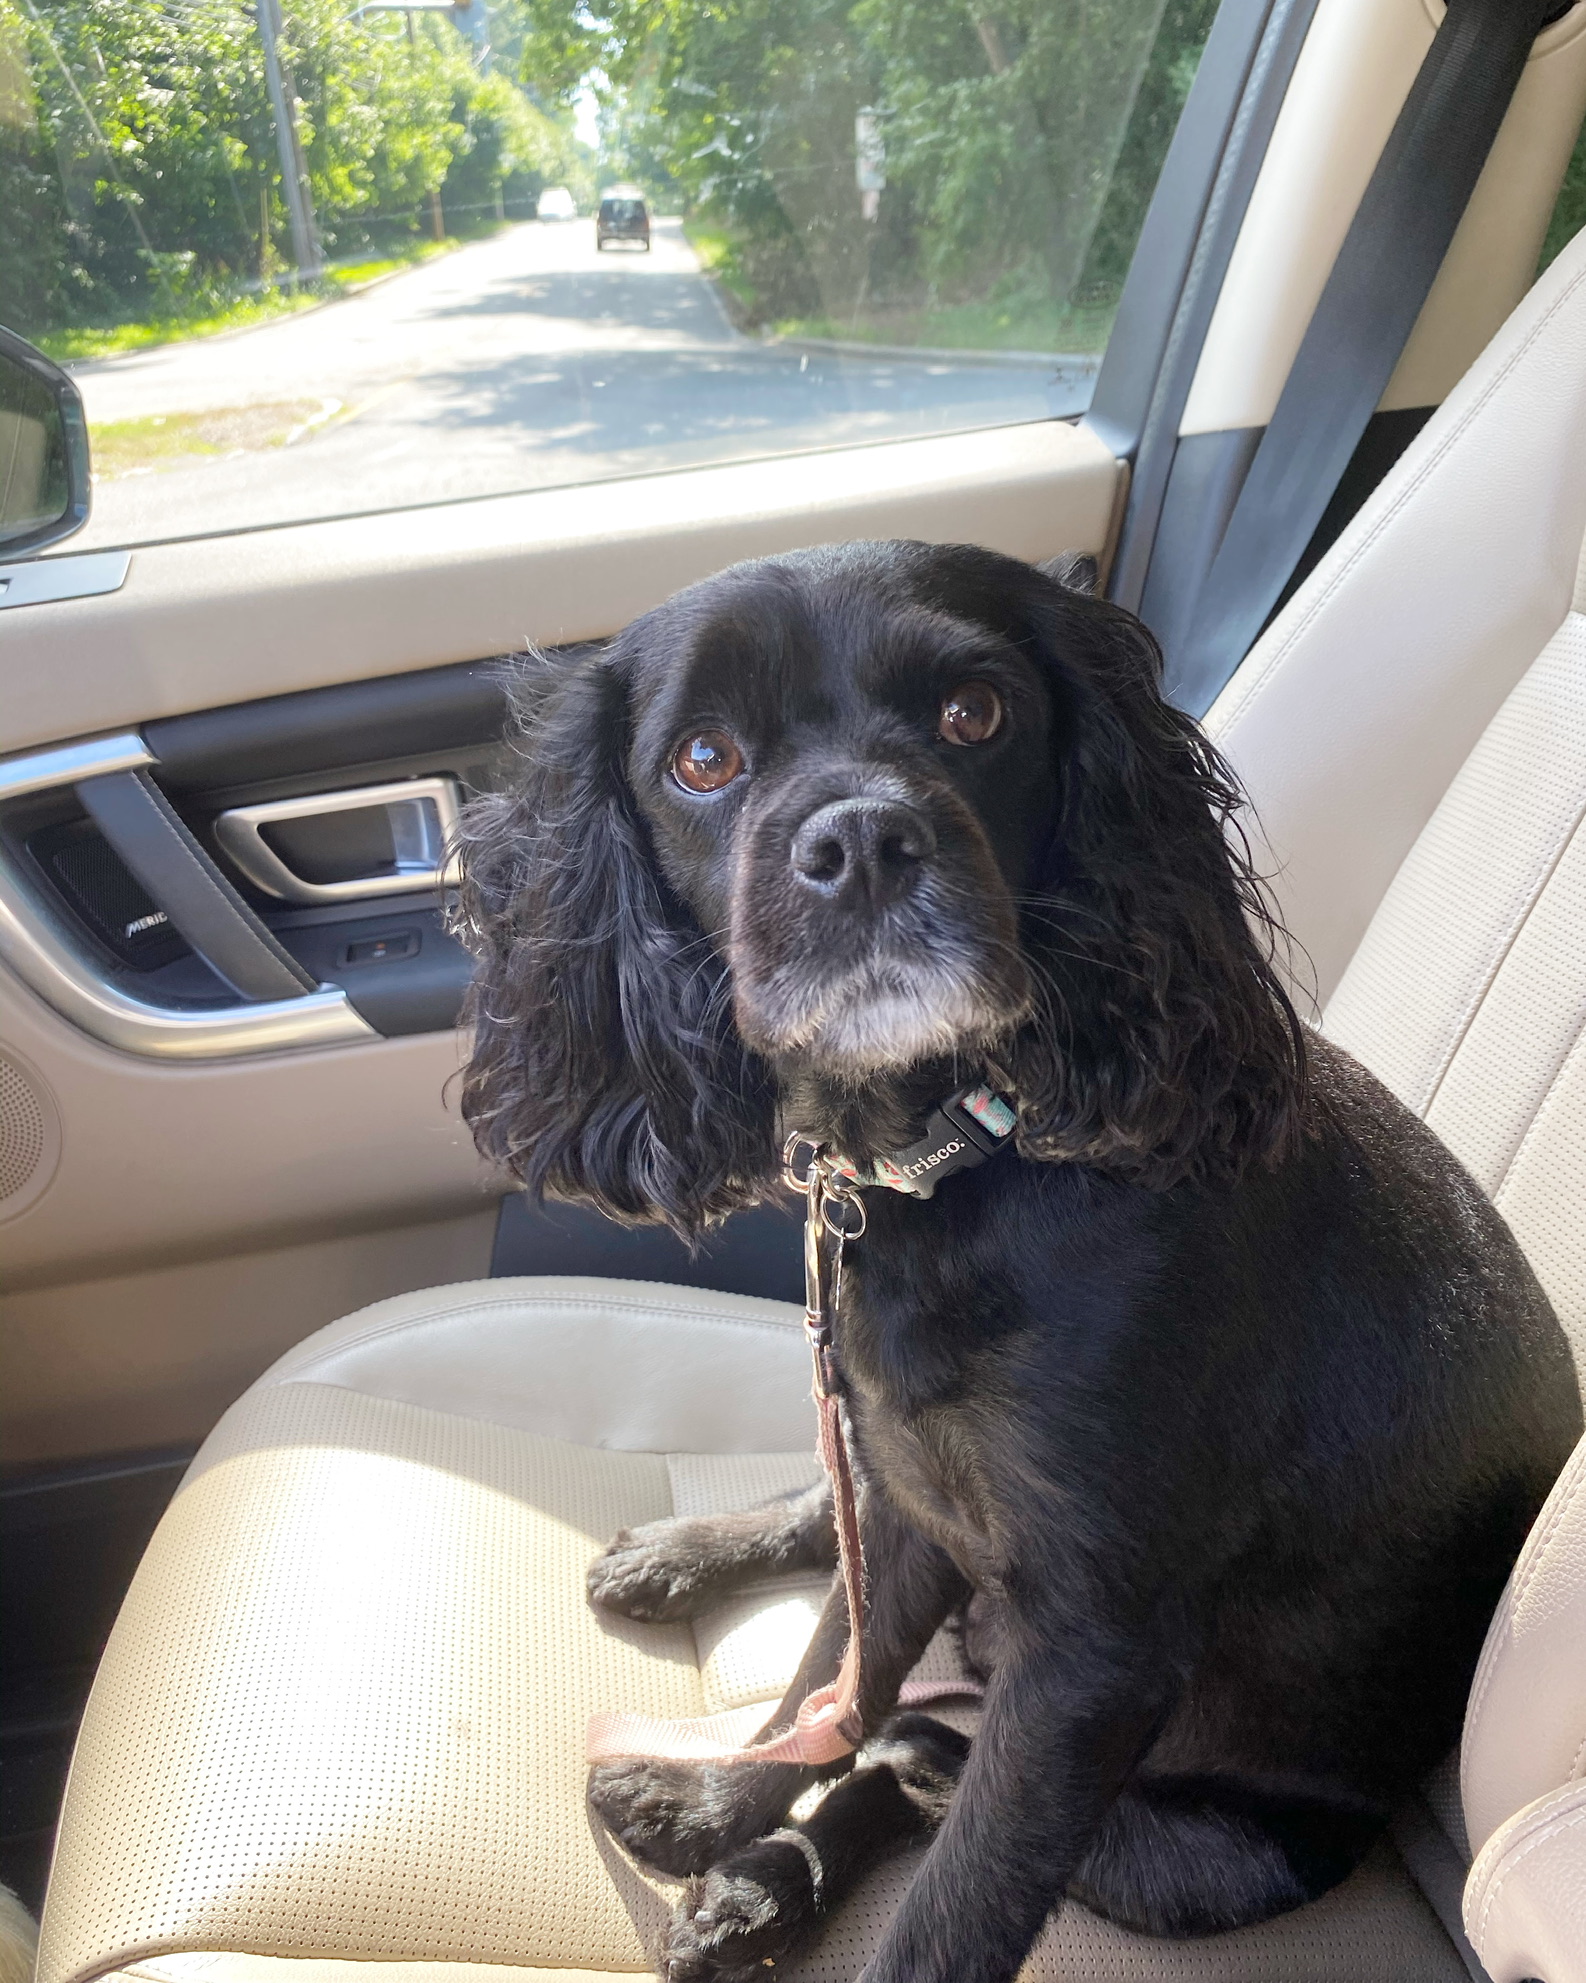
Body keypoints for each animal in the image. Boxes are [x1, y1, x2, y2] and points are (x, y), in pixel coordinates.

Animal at [452, 543, 1578, 1983]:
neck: (957, 1155)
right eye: (702, 758)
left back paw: (777, 1875)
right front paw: (721, 1803)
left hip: (1186, 1857)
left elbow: (956, 1894)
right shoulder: (909, 1496)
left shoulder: (1090, 1655)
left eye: (973, 713)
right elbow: (828, 1671)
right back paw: (692, 1589)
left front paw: (741, 1836)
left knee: (921, 1764)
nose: (861, 844)